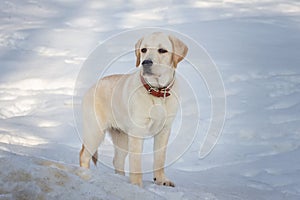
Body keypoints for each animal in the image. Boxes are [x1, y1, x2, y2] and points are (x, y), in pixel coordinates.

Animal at [79, 32, 188, 187]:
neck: (156, 91)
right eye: (144, 50)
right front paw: (137, 185)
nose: (146, 62)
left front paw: (161, 180)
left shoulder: (164, 130)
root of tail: (92, 87)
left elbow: (160, 159)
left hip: (122, 137)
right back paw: (85, 175)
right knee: (84, 155)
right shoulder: (137, 132)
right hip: (94, 132)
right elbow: (136, 163)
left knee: (117, 160)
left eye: (162, 50)